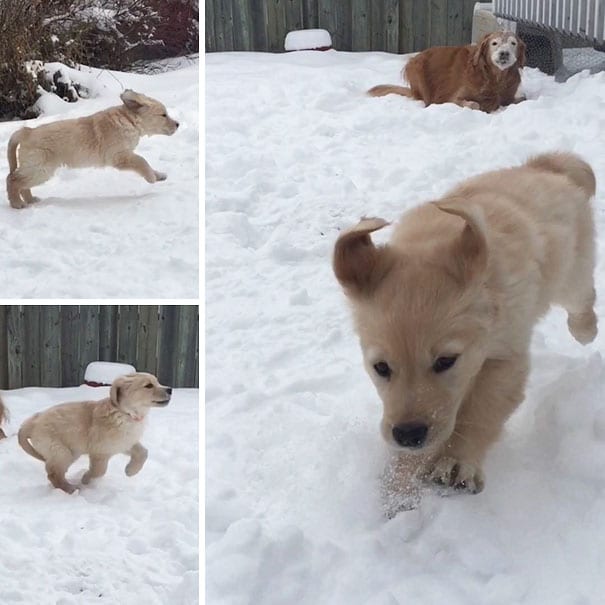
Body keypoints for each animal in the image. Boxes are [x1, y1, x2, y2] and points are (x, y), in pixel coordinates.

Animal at [5, 88, 178, 209]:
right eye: (163, 115)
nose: (178, 124)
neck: (129, 120)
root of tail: (27, 131)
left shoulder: (125, 154)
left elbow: (146, 162)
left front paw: (159, 175)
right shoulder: (120, 156)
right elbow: (142, 161)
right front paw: (151, 177)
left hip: (36, 168)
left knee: (21, 183)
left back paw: (30, 200)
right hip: (40, 168)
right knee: (13, 180)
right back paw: (17, 204)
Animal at [17, 370, 171, 494]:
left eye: (157, 382)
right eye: (148, 385)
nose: (170, 389)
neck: (126, 414)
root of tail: (31, 422)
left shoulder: (124, 442)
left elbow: (143, 452)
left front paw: (131, 471)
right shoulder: (100, 451)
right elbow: (100, 470)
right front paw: (86, 479)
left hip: (70, 452)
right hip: (60, 451)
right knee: (53, 474)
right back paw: (70, 489)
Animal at [332, 151, 596, 496]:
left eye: (446, 361)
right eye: (381, 368)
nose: (408, 435)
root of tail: (543, 166)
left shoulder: (505, 355)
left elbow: (481, 408)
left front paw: (455, 462)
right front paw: (399, 486)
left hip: (571, 275)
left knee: (582, 298)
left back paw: (586, 330)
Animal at [368, 30, 524, 111]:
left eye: (513, 43)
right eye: (494, 43)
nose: (504, 53)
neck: (494, 77)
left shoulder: (507, 96)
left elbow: (518, 99)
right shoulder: (454, 97)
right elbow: (474, 104)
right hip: (416, 65)